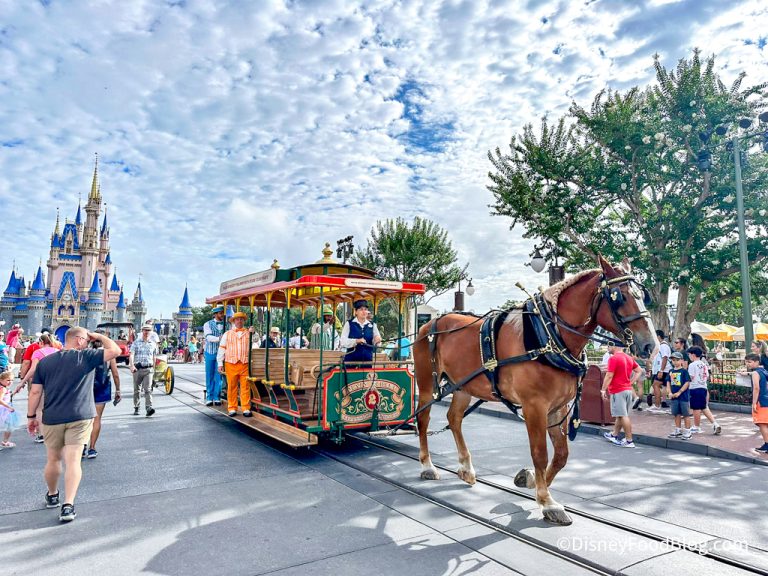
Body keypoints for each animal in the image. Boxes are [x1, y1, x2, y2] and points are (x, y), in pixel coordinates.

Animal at [412, 256, 656, 528]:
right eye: (619, 297)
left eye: (643, 296)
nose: (650, 344)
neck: (550, 334)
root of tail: (428, 325)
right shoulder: (534, 406)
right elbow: (540, 453)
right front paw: (547, 502)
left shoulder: (557, 407)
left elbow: (561, 455)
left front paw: (531, 482)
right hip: (426, 383)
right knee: (423, 419)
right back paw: (427, 466)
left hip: (463, 386)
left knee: (454, 419)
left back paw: (466, 468)